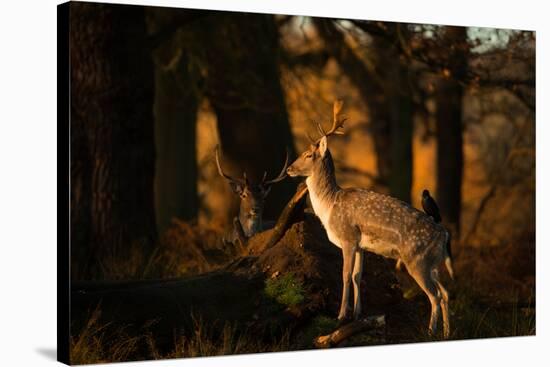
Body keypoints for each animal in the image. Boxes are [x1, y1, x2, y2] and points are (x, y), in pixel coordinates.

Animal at [286, 100, 454, 340]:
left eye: (309, 154)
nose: (289, 169)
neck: (329, 206)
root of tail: (445, 234)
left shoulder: (347, 237)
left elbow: (345, 274)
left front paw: (341, 315)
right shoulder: (360, 245)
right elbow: (358, 275)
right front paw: (357, 314)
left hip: (417, 260)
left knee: (435, 296)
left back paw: (430, 331)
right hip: (433, 263)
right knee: (446, 292)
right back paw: (447, 333)